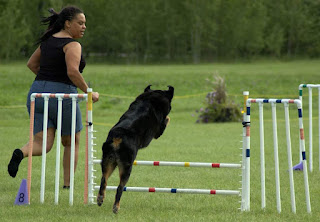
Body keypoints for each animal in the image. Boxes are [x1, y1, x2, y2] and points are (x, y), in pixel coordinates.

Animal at [96, 85, 174, 213]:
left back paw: (100, 199)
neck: (150, 98)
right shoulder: (158, 131)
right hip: (127, 166)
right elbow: (167, 118)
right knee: (120, 187)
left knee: (104, 180)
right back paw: (116, 207)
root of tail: (118, 137)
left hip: (108, 161)